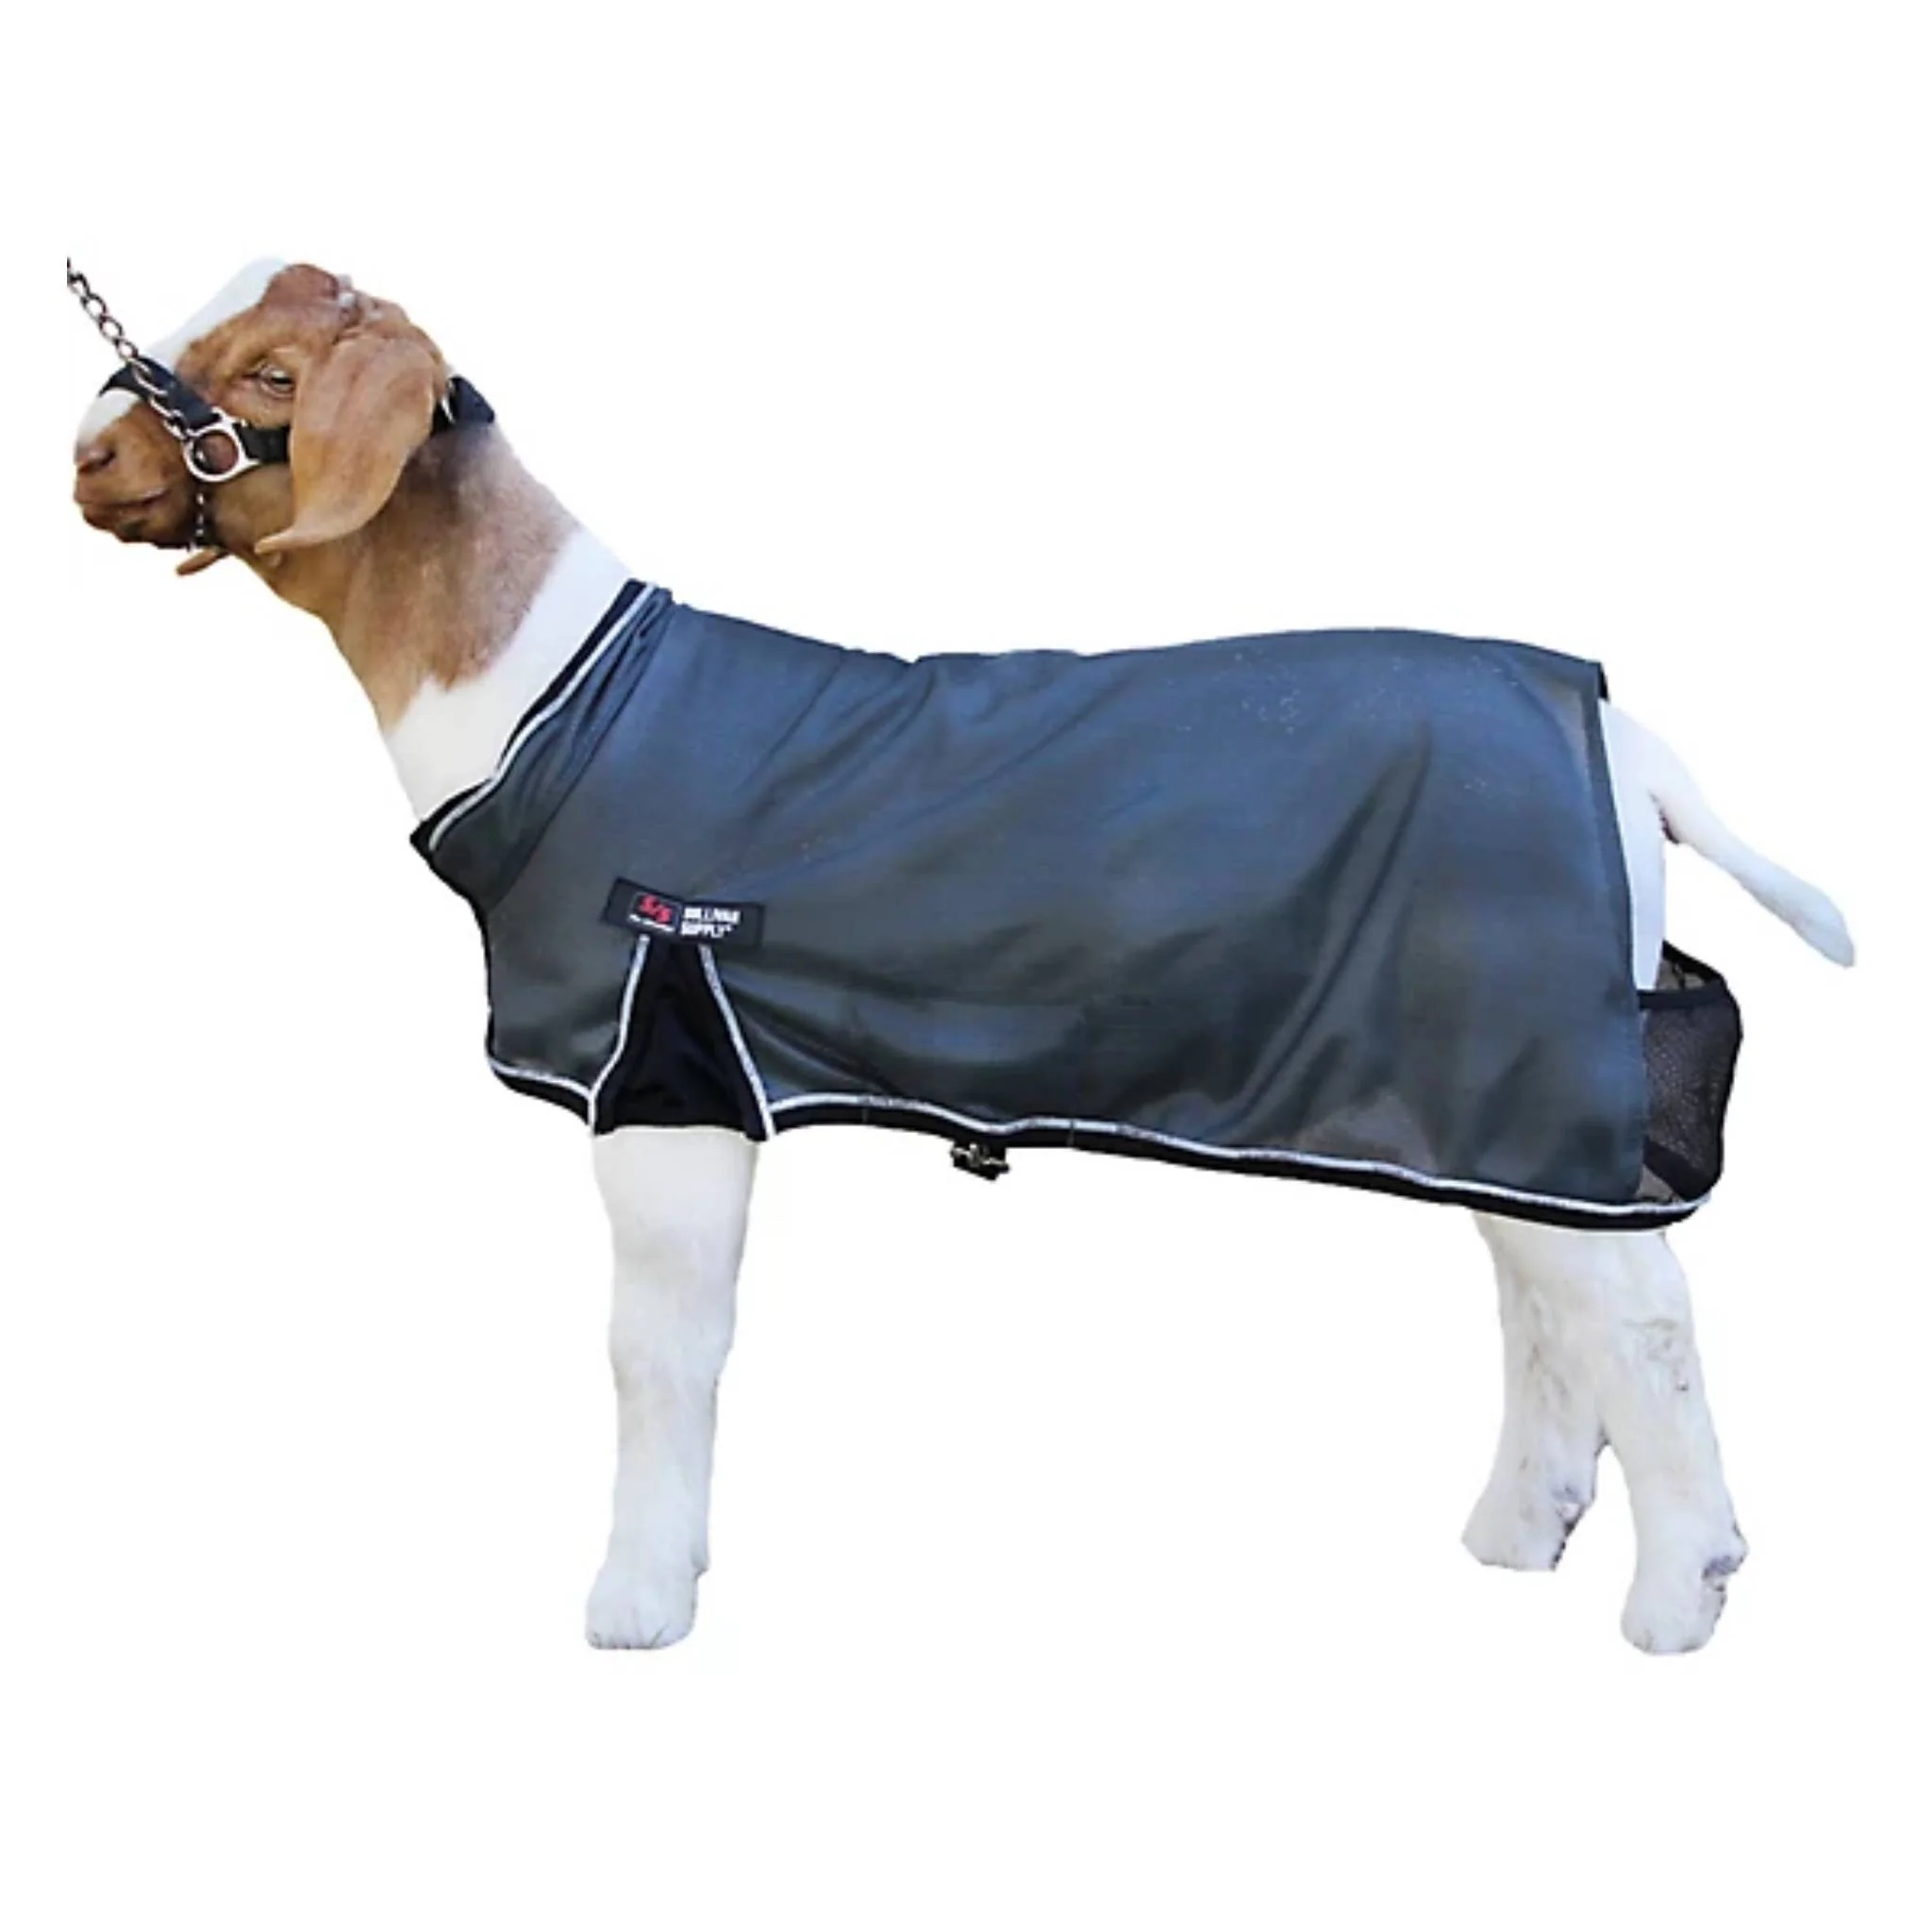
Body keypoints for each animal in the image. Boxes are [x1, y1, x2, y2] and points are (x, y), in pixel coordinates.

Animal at [70, 260, 1854, 1653]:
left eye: (275, 376)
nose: (85, 454)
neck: (547, 693)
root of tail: (1624, 739)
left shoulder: (663, 1062)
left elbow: (657, 1349)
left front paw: (636, 1599)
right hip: (1482, 1058)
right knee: (1537, 1280)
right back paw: (1515, 1531)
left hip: (1523, 1033)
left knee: (1635, 1313)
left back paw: (1681, 1590)